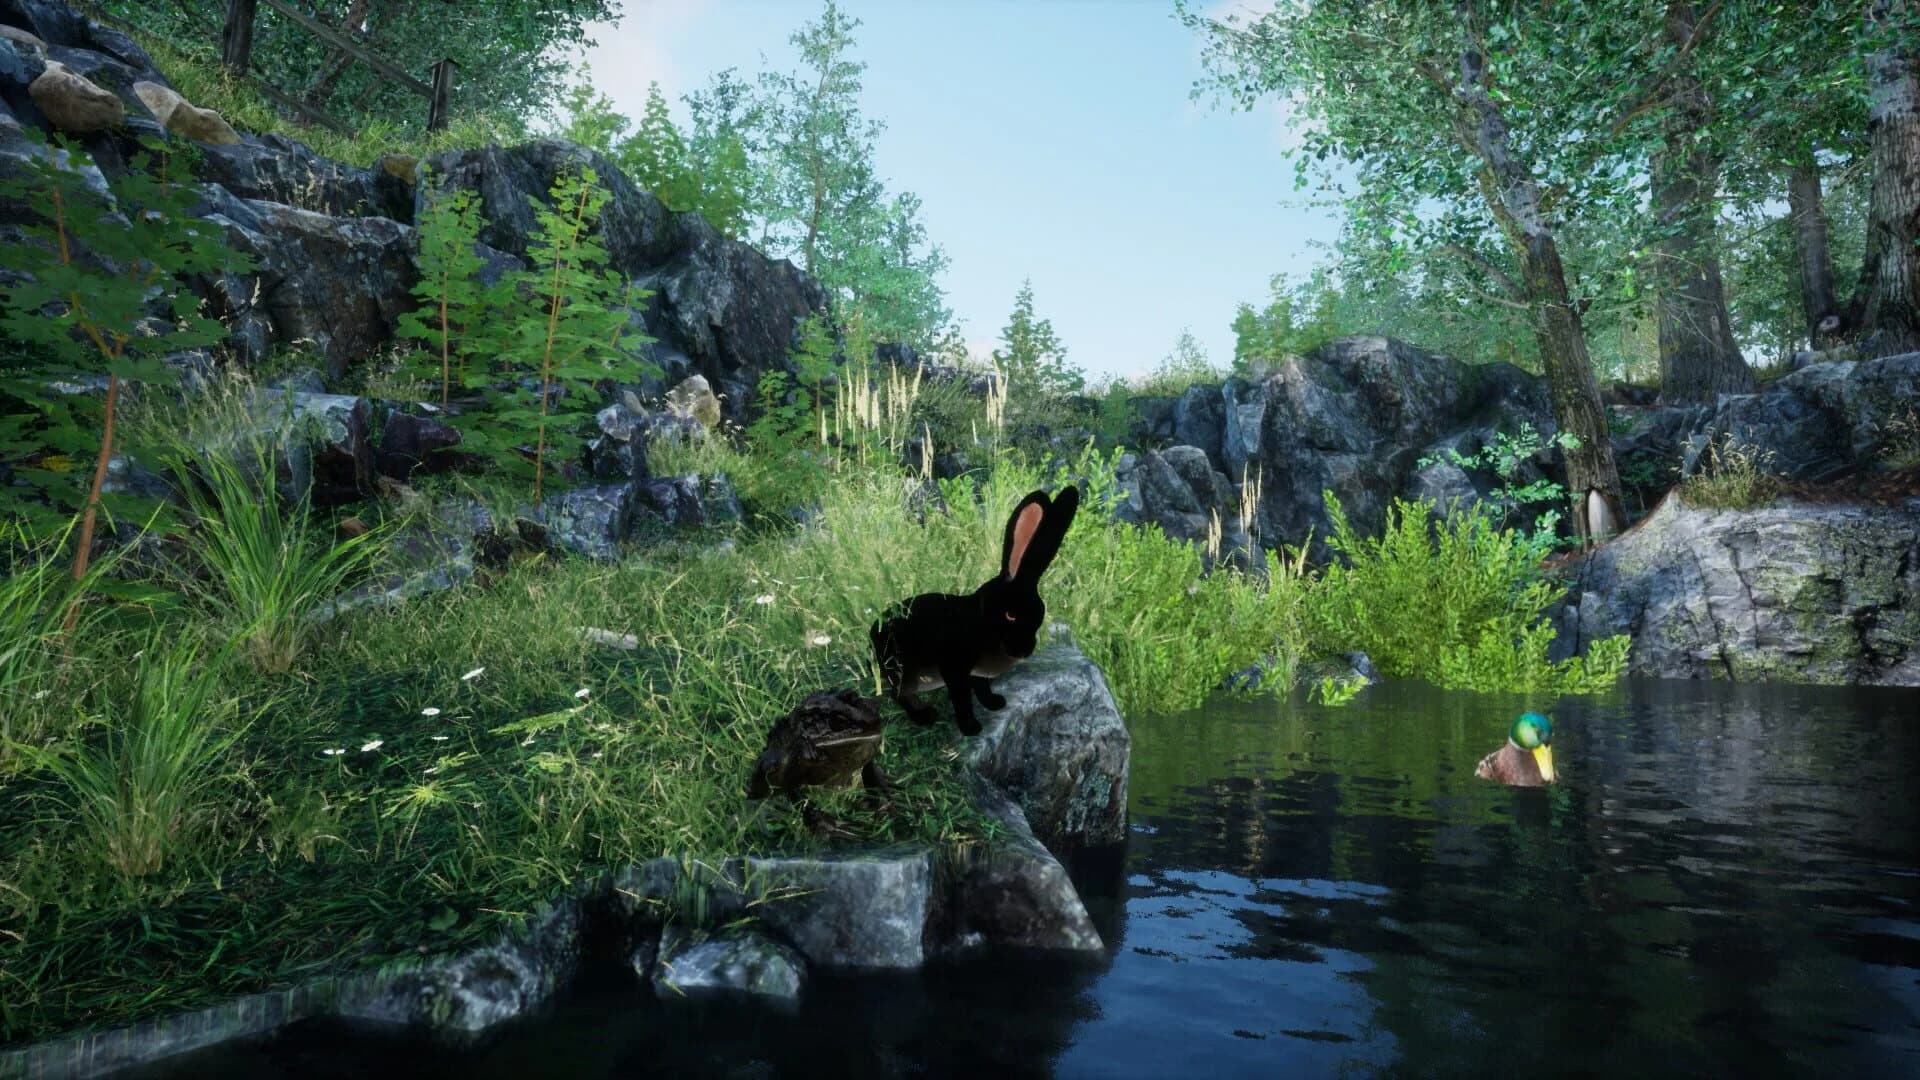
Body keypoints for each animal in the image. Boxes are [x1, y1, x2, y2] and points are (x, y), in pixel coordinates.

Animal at [868, 485, 1080, 736]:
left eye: (1040, 616)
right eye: (1011, 615)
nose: (1025, 650)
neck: (984, 623)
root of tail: (873, 632)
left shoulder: (977, 674)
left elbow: (982, 689)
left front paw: (995, 703)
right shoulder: (955, 669)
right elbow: (962, 699)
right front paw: (971, 728)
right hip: (905, 672)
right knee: (898, 694)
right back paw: (924, 715)